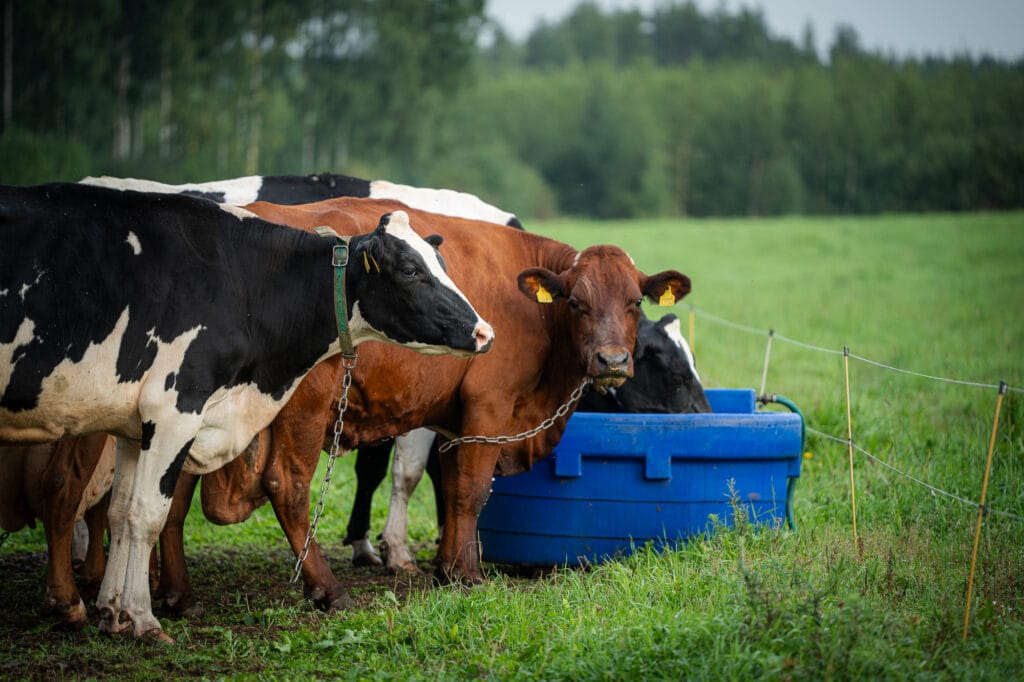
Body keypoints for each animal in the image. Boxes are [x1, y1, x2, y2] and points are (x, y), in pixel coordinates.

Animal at [0, 180, 493, 638]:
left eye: (441, 264)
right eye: (411, 270)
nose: (485, 331)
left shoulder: (131, 426)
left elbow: (121, 512)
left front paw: (111, 612)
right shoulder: (174, 410)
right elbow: (147, 514)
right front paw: (142, 619)